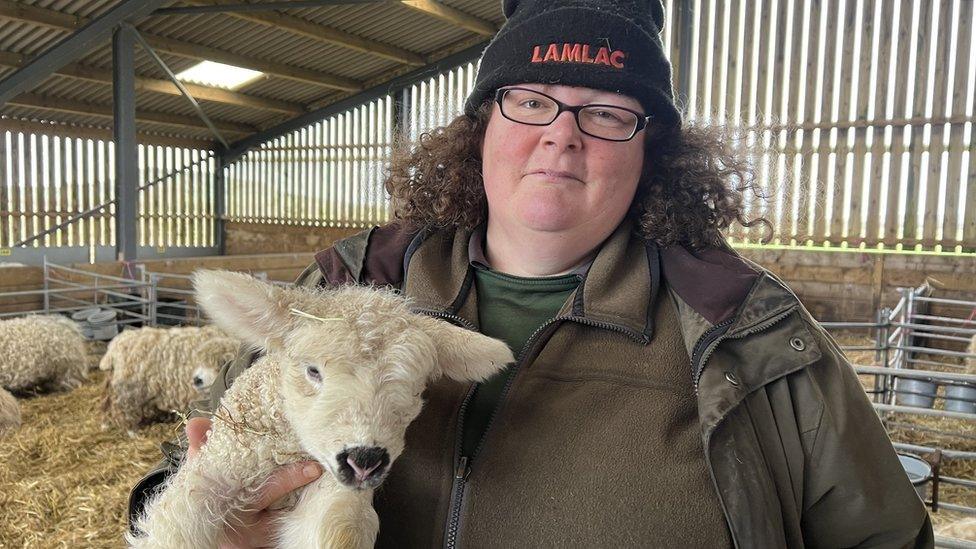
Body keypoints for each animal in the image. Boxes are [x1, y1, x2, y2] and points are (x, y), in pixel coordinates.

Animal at [101, 322, 240, 432]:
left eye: (222, 362)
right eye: (201, 360)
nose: (197, 380)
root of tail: (113, 348)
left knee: (107, 402)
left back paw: (106, 425)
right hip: (128, 390)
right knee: (122, 409)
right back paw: (132, 432)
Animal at [127, 270, 520, 548]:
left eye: (415, 388)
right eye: (312, 371)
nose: (365, 459)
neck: (283, 451)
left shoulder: (334, 490)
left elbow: (339, 531)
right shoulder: (214, 472)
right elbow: (177, 528)